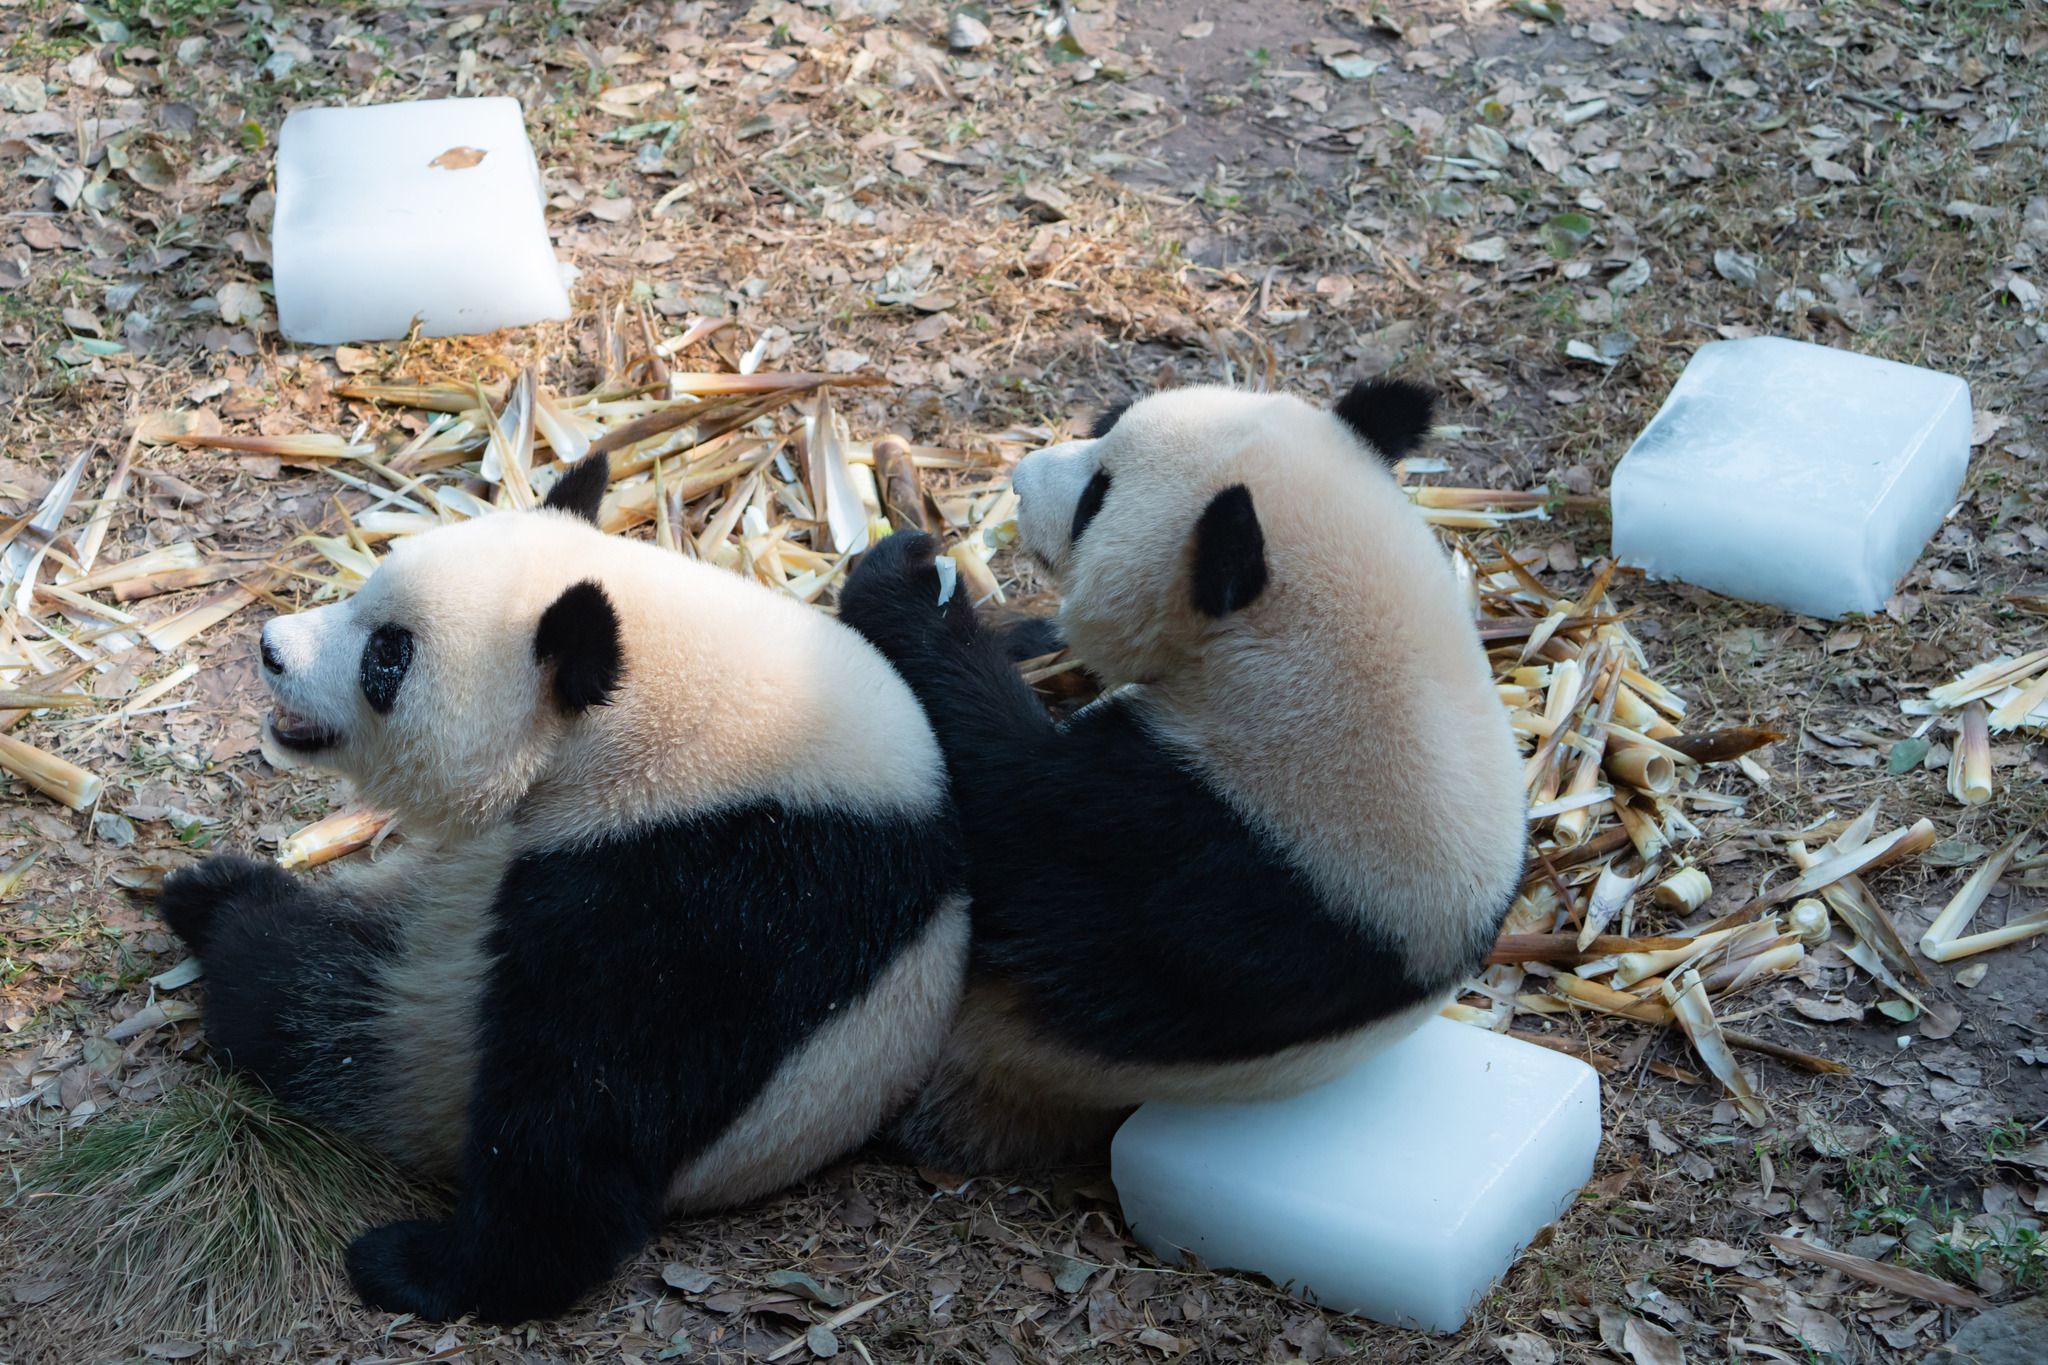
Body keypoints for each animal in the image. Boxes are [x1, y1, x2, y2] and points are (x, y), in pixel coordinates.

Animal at [151, 456, 966, 1326]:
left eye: (387, 656)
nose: (271, 647)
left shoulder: (708, 897)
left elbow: (585, 1117)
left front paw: (425, 1267)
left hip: (419, 1044)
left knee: (312, 1000)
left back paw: (237, 933)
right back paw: (212, 892)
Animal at [831, 378, 1523, 1170]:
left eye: (1096, 497)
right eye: (1107, 423)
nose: (1022, 477)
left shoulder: (1219, 855)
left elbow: (1013, 813)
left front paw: (908, 580)